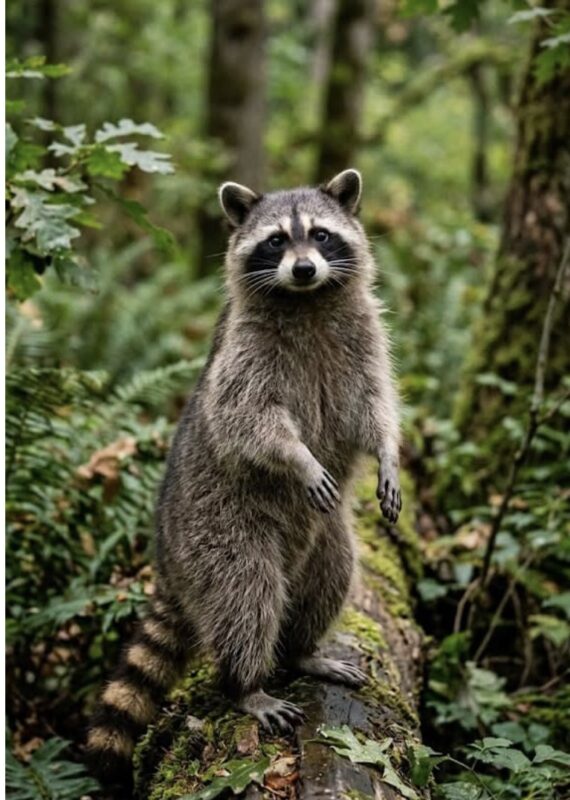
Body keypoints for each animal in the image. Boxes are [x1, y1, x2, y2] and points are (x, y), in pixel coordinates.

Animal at [86, 169, 401, 784]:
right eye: (276, 241)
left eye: (321, 236)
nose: (303, 269)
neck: (307, 300)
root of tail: (167, 562)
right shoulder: (244, 354)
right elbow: (248, 421)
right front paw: (299, 457)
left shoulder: (363, 338)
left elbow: (373, 406)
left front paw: (388, 452)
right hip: (218, 533)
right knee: (245, 596)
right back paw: (245, 684)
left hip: (322, 538)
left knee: (331, 575)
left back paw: (304, 650)